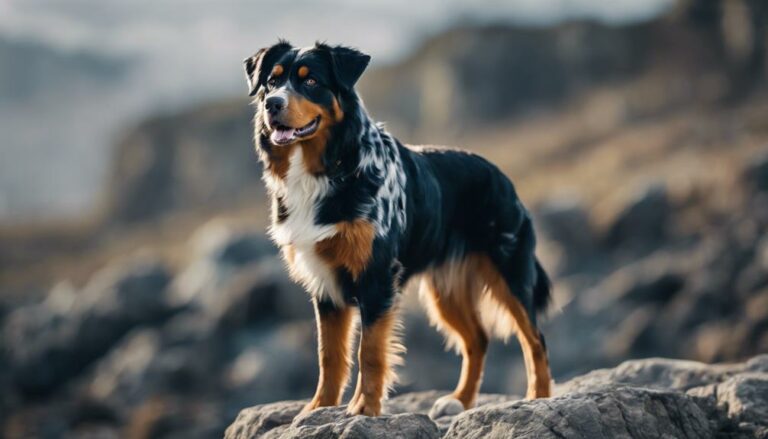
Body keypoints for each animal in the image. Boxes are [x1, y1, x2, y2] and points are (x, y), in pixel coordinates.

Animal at [243, 41, 548, 420]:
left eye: (311, 80)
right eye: (271, 81)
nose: (272, 104)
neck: (330, 167)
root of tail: (504, 178)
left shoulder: (376, 276)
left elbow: (370, 352)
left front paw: (364, 407)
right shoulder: (325, 284)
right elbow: (330, 355)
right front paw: (318, 408)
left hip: (511, 273)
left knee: (534, 339)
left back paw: (539, 397)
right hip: (445, 290)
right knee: (477, 339)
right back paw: (459, 400)